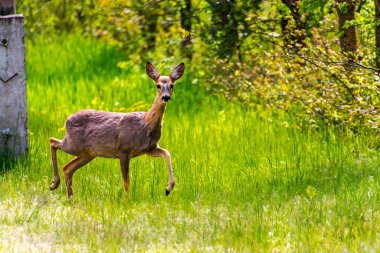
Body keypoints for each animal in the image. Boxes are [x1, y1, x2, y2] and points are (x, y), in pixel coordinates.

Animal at [48, 61, 185, 198]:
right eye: (158, 85)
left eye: (172, 85)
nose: (166, 97)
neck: (145, 123)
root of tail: (68, 119)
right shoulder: (123, 150)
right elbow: (126, 183)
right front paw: (127, 201)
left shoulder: (149, 149)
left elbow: (167, 153)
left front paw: (168, 188)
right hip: (74, 144)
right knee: (53, 141)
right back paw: (54, 184)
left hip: (88, 153)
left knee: (67, 168)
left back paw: (69, 196)